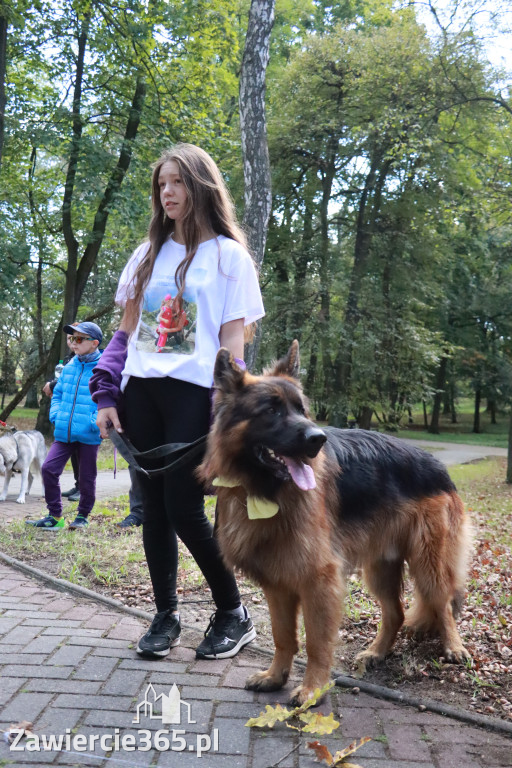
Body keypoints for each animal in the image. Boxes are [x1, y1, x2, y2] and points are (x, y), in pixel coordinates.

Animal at [198, 344, 470, 704]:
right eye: (271, 410)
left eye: (302, 410)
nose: (319, 438)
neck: (267, 493)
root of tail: (438, 467)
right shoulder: (277, 584)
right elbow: (283, 636)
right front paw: (275, 676)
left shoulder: (319, 582)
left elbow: (315, 642)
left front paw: (312, 688)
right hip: (381, 567)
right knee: (396, 612)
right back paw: (377, 652)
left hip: (428, 564)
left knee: (444, 603)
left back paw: (454, 647)